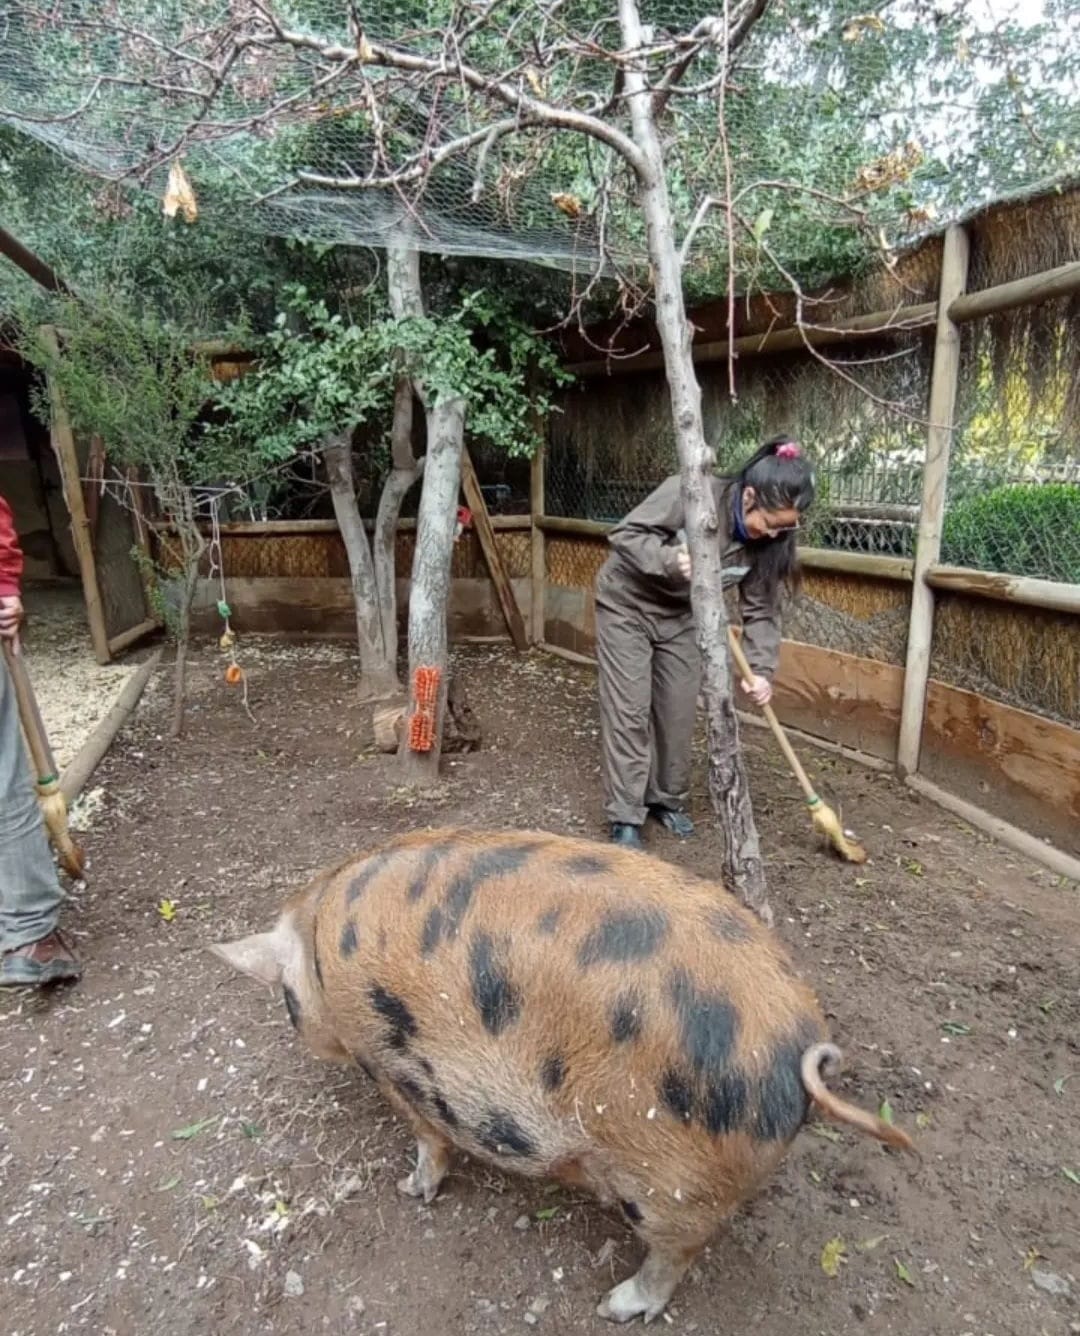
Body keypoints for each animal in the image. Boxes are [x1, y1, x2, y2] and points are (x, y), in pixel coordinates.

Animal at [212, 828, 908, 1319]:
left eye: (285, 997)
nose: (298, 1030)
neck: (315, 947)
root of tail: (801, 1039)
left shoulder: (394, 1068)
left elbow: (429, 1140)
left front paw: (412, 1190)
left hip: (665, 1180)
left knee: (680, 1248)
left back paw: (616, 1306)